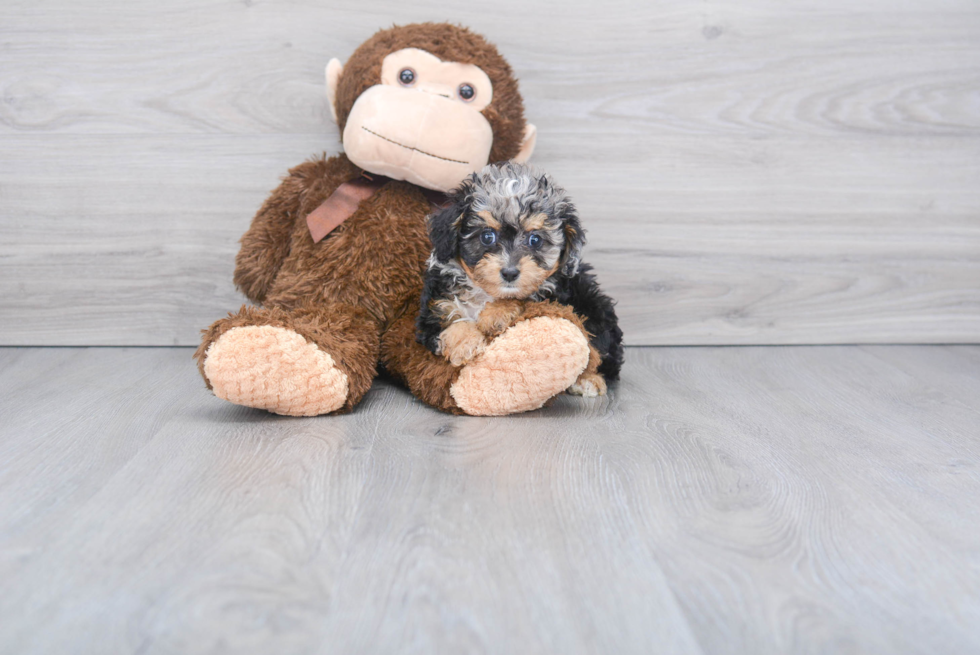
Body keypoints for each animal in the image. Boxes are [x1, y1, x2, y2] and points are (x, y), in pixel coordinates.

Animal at [414, 161, 620, 398]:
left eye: (535, 240)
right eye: (487, 236)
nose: (510, 273)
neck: (484, 293)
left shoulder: (554, 292)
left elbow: (524, 297)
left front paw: (495, 314)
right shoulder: (434, 308)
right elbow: (449, 325)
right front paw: (465, 343)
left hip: (593, 307)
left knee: (597, 351)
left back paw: (589, 380)